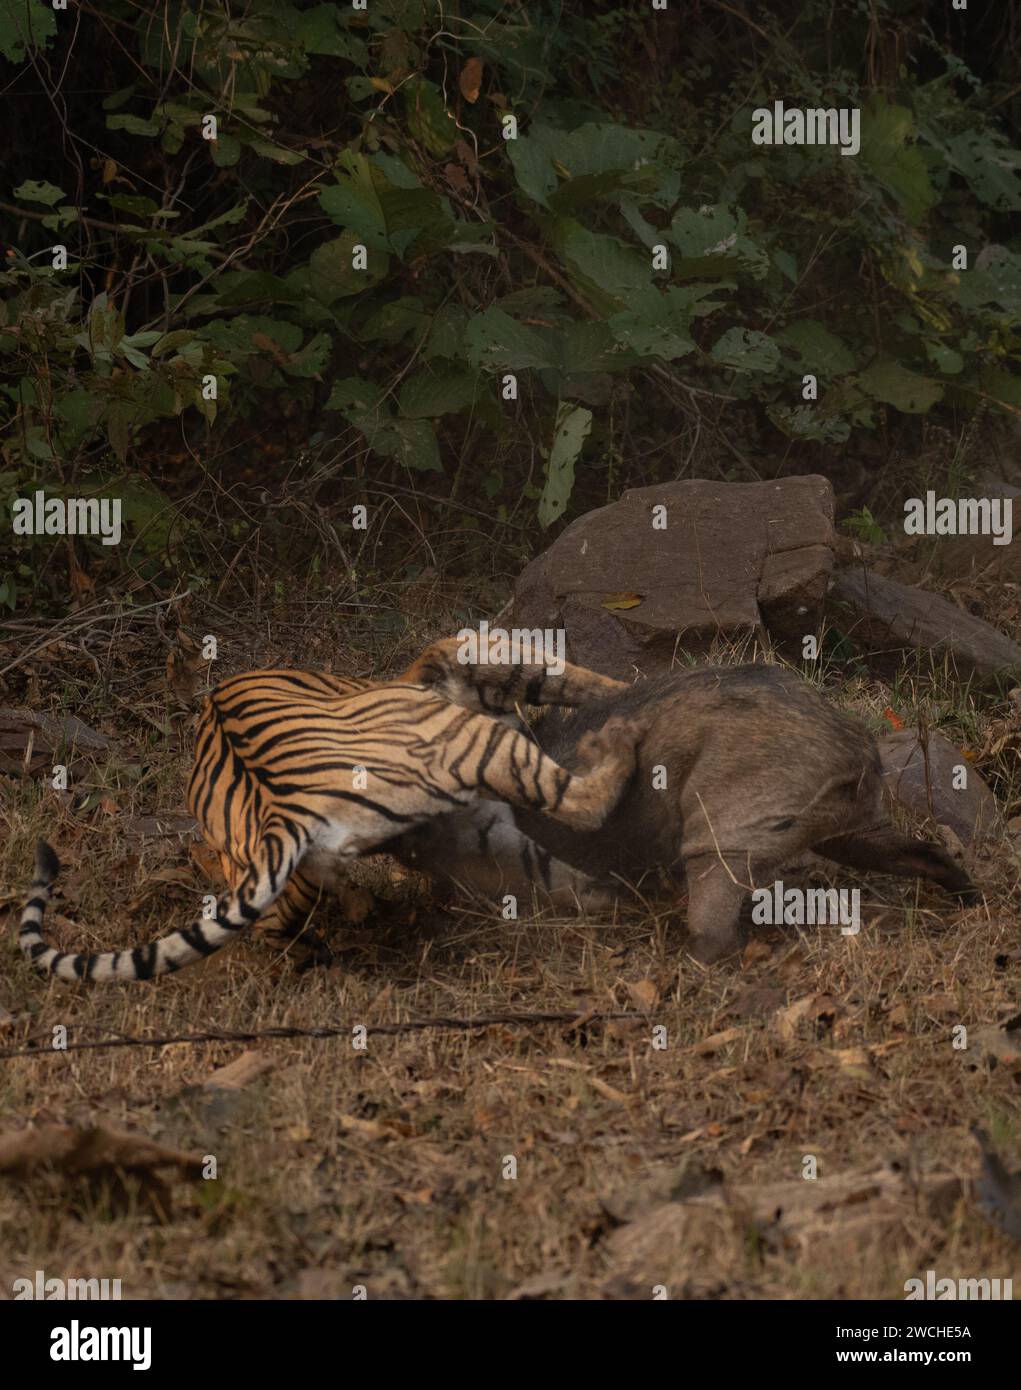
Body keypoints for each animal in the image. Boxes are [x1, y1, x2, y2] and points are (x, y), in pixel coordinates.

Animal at [19, 638, 643, 983]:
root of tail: (284, 810)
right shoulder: (469, 653)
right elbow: (558, 674)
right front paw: (625, 687)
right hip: (473, 750)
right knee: (578, 803)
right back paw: (618, 739)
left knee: (270, 934)